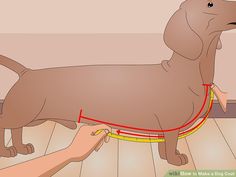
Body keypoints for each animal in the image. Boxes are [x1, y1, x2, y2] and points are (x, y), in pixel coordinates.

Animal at [0, 0, 235, 166]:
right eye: (210, 4)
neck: (185, 70)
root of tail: (26, 72)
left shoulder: (166, 126)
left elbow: (165, 144)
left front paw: (168, 156)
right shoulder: (171, 123)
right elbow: (170, 142)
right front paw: (175, 159)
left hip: (32, 117)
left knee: (16, 129)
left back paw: (21, 148)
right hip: (26, 111)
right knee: (6, 124)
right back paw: (7, 151)